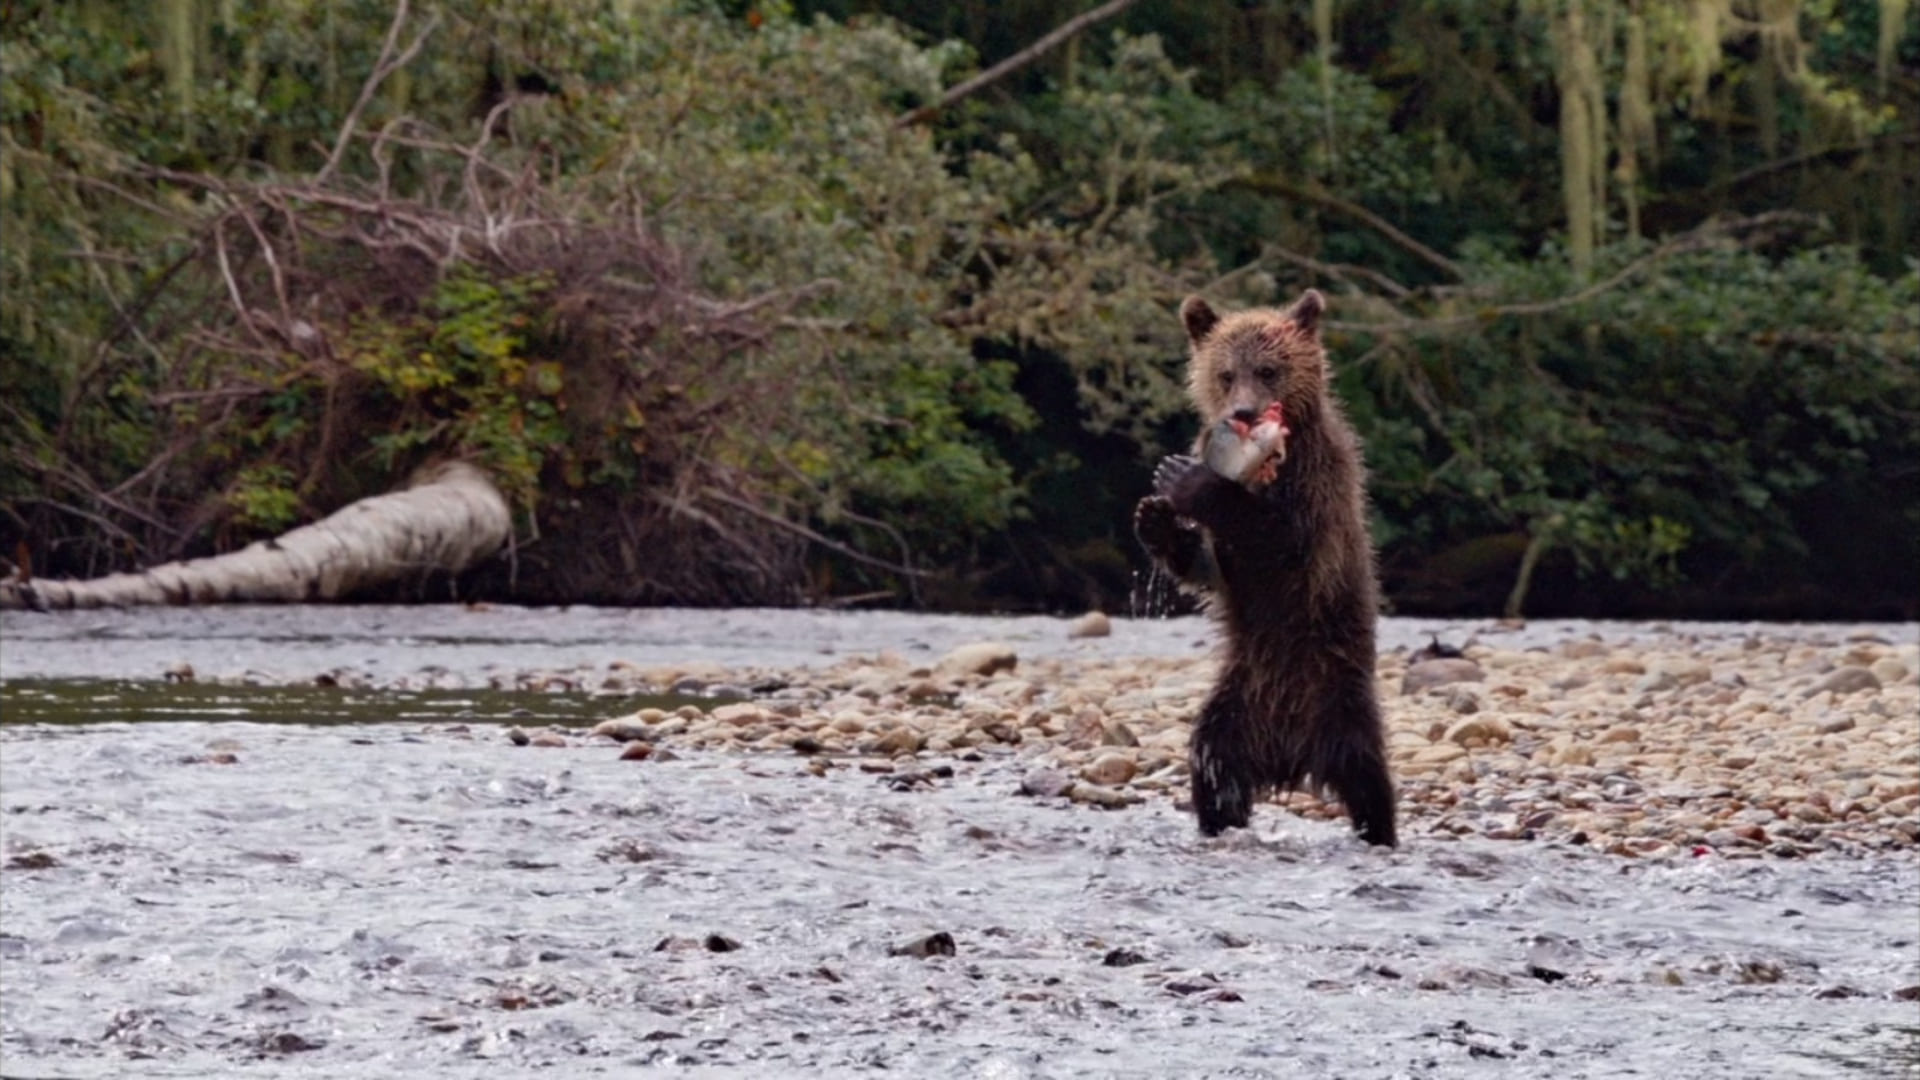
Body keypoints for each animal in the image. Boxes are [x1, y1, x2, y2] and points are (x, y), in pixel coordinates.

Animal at [1133, 288, 1397, 847]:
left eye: (1269, 369)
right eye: (1226, 373)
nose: (1244, 412)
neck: (1269, 461)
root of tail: (1289, 754)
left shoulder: (1318, 487)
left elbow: (1283, 543)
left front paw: (1186, 480)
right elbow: (1213, 568)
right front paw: (1156, 518)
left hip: (1336, 698)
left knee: (1368, 777)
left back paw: (1380, 830)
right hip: (1238, 701)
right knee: (1212, 761)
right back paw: (1219, 819)